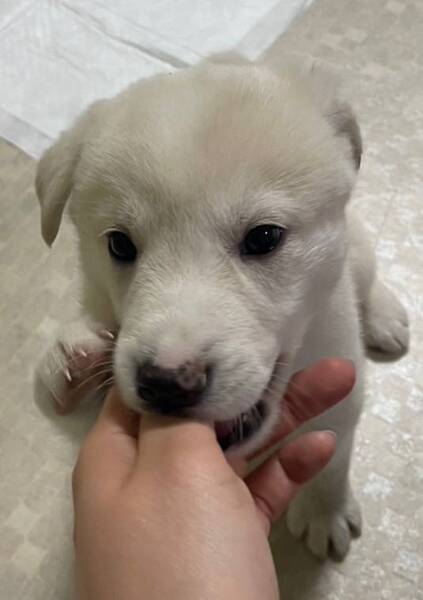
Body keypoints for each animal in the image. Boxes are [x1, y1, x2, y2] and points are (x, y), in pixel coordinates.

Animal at [34, 53, 409, 560]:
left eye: (264, 237)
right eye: (119, 245)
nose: (168, 383)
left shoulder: (342, 378)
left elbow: (329, 451)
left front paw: (324, 511)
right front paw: (69, 358)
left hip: (362, 250)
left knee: (369, 279)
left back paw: (386, 316)